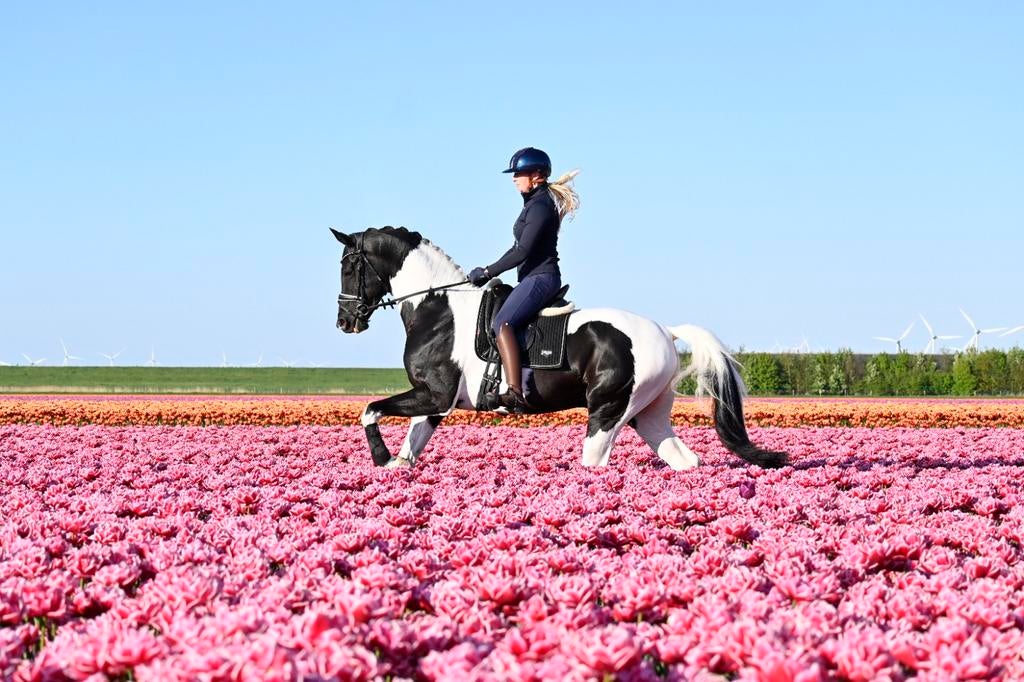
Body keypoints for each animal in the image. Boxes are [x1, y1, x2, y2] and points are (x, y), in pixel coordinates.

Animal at [331, 226, 788, 470]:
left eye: (349, 265)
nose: (345, 322)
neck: (438, 307)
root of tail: (664, 329)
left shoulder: (435, 395)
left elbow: (369, 409)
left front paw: (379, 457)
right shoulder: (435, 404)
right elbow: (409, 446)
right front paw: (395, 464)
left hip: (608, 411)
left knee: (596, 463)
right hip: (649, 414)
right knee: (683, 460)